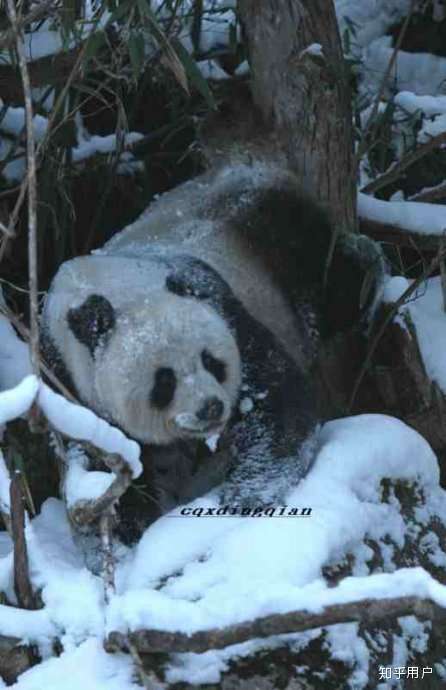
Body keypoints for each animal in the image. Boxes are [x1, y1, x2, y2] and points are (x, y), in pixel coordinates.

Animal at [41, 161, 380, 524]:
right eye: (164, 380)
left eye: (212, 362)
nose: (212, 408)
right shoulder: (63, 380)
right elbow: (104, 458)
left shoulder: (219, 301)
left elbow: (274, 398)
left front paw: (246, 498)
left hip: (282, 244)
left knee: (337, 281)